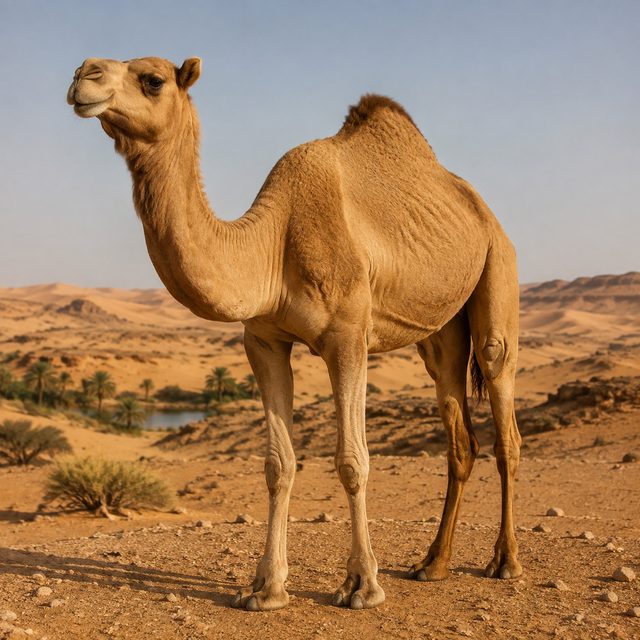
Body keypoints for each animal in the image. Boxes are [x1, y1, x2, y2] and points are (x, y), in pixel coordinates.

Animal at [67, 56, 522, 611]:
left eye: (152, 79)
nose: (83, 75)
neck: (272, 243)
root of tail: (482, 209)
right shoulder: (263, 341)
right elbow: (277, 464)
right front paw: (266, 588)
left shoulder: (348, 336)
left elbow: (352, 460)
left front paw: (362, 585)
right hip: (439, 331)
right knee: (459, 431)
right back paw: (432, 564)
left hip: (498, 265)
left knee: (503, 411)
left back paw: (506, 562)